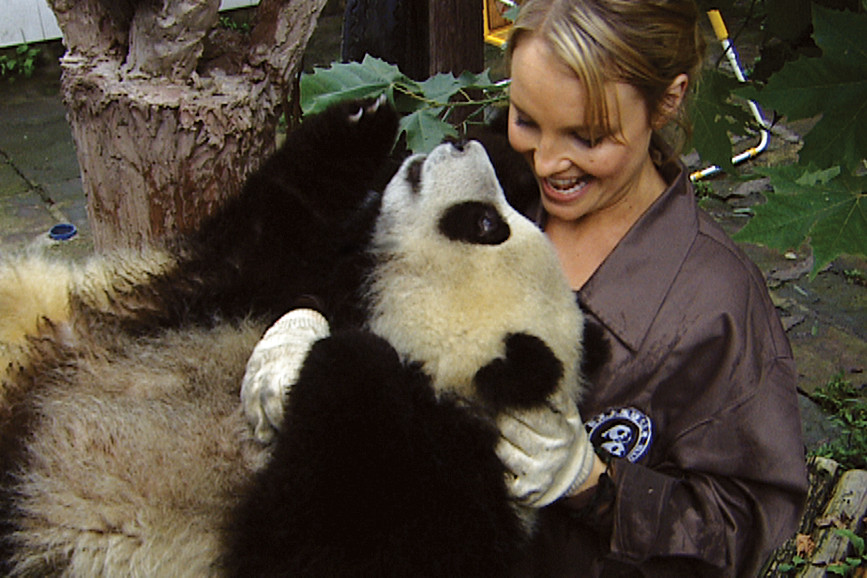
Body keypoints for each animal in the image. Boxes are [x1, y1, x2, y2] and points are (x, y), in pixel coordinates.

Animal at [0, 97, 588, 572]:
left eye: (486, 226)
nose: (457, 141)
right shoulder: (267, 282)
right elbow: (279, 230)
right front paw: (376, 118)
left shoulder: (444, 491)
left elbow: (306, 548)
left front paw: (350, 360)